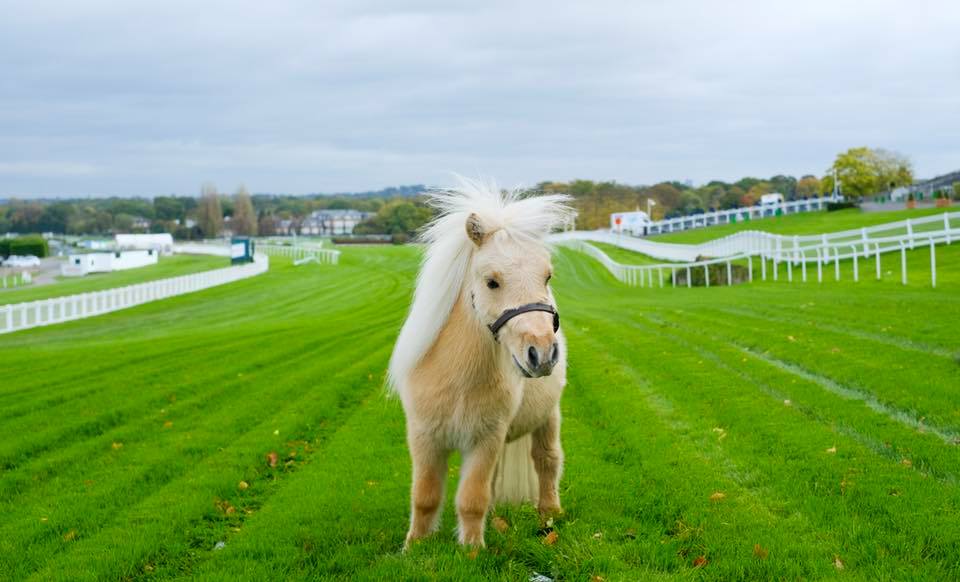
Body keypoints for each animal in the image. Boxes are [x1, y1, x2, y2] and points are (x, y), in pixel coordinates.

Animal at [386, 177, 572, 548]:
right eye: (492, 281)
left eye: (547, 277)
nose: (542, 353)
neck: (457, 378)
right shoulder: (424, 439)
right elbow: (424, 496)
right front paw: (414, 546)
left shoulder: (484, 440)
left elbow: (472, 498)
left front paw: (471, 549)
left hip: (548, 417)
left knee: (547, 460)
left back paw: (549, 514)